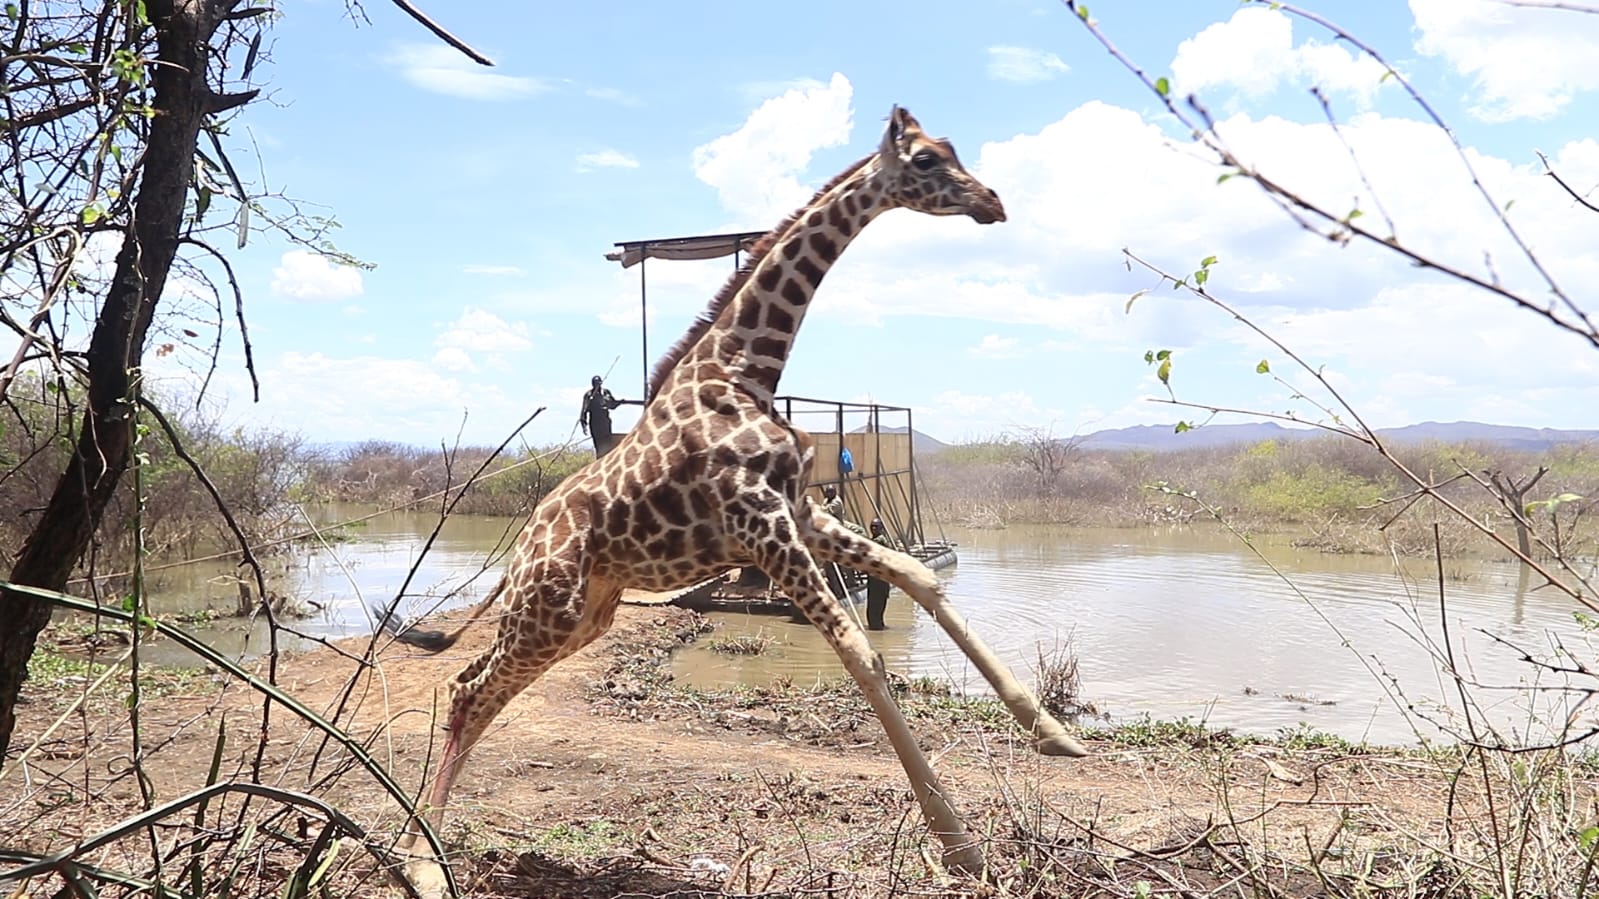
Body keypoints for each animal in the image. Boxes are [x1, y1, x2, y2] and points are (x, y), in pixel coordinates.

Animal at [386, 106, 1087, 894]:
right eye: (928, 161)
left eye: (952, 149)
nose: (992, 201)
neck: (744, 370)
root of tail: (522, 542)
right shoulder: (760, 522)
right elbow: (861, 654)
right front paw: (959, 847)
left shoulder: (800, 512)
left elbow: (919, 577)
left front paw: (1055, 734)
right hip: (549, 607)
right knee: (468, 690)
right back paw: (421, 861)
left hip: (585, 615)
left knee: (471, 687)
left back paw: (427, 847)